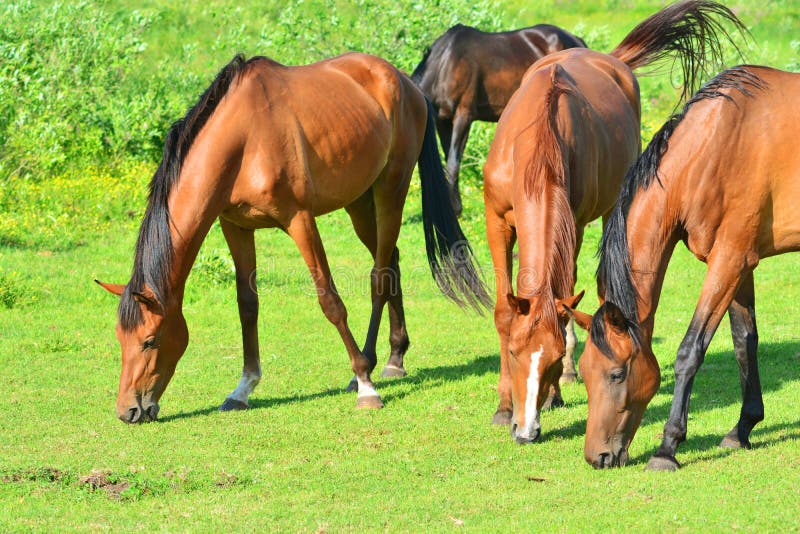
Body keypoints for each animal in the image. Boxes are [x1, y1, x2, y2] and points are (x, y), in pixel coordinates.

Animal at [94, 52, 488, 426]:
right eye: (119, 338)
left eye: (150, 340)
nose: (128, 410)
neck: (243, 140)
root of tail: (405, 82)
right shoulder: (235, 226)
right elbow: (247, 306)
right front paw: (243, 388)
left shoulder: (300, 220)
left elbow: (330, 301)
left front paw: (366, 385)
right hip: (358, 203)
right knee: (391, 261)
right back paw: (394, 356)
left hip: (391, 189)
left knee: (380, 275)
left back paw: (370, 367)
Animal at [478, 0, 748, 446]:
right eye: (515, 352)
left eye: (551, 358)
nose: (527, 430)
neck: (534, 146)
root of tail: (610, 59)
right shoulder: (496, 221)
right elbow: (503, 310)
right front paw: (502, 408)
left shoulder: (569, 224)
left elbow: (565, 297)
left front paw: (557, 389)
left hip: (609, 212)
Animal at [576, 65, 792, 472]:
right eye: (581, 372)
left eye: (616, 374)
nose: (598, 457)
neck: (716, 146)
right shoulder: (740, 263)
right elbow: (744, 342)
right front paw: (743, 428)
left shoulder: (729, 262)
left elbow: (690, 351)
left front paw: (667, 447)